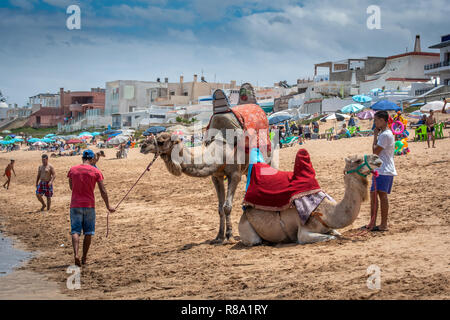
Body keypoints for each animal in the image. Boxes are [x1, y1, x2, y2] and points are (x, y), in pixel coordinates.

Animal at [237, 154, 382, 245]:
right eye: (358, 160)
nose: (377, 158)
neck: (328, 212)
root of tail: (245, 212)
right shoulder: (304, 232)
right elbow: (331, 237)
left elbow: (337, 234)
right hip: (246, 228)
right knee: (255, 240)